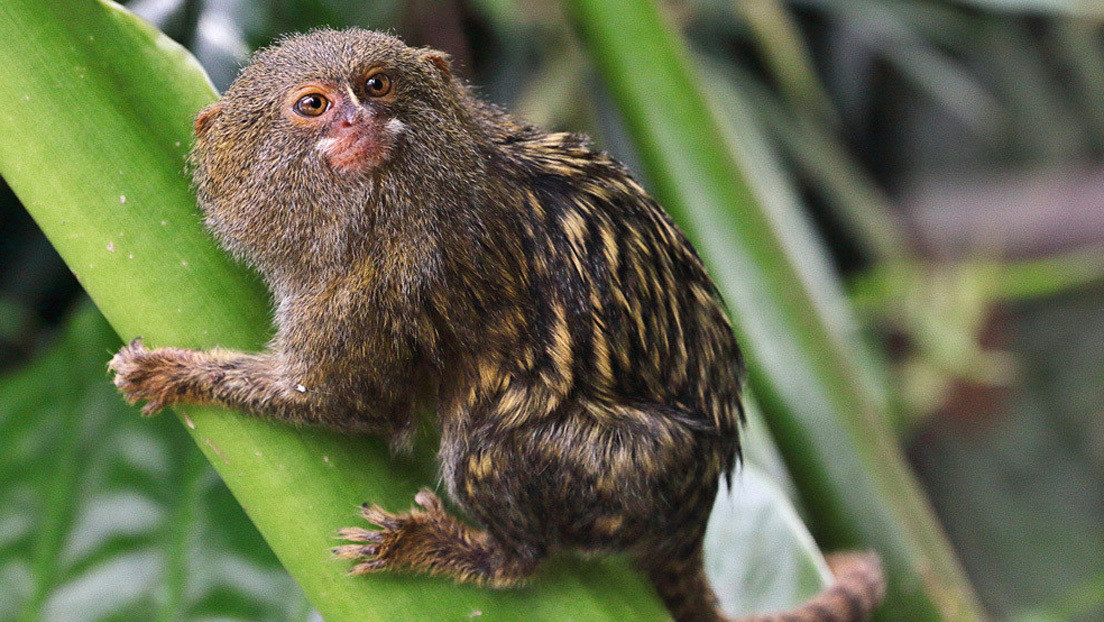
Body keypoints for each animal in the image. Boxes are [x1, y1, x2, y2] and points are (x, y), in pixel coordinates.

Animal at [109, 29, 887, 622]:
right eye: (313, 105)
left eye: (377, 85)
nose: (358, 122)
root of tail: (694, 511)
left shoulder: (391, 282)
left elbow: (342, 401)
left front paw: (176, 373)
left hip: (634, 469)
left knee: (492, 450)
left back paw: (478, 553)